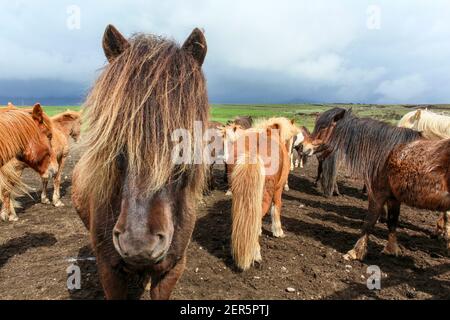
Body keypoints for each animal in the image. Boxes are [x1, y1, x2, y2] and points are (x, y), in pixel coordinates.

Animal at [308, 107, 450, 260]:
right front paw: (391, 250)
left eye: (323, 127)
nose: (304, 147)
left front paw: (356, 252)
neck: (386, 153)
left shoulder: (377, 195)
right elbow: (392, 222)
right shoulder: (393, 198)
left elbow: (369, 222)